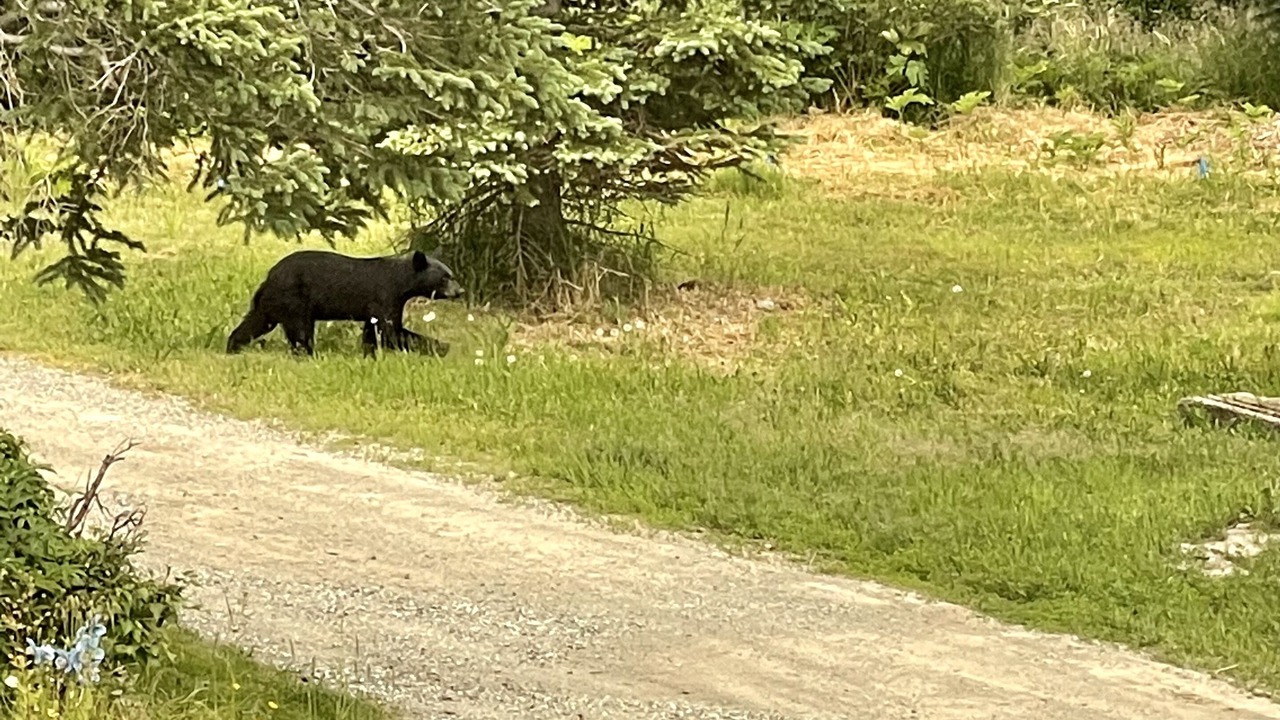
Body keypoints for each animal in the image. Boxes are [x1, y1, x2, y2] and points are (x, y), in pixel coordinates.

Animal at [225, 249, 464, 357]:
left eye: (451, 274)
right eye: (445, 277)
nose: (460, 291)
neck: (401, 283)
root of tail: (268, 277)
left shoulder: (379, 307)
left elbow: (372, 332)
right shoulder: (385, 296)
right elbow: (390, 331)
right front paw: (440, 346)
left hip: (272, 303)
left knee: (256, 322)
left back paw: (232, 346)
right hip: (294, 299)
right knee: (301, 331)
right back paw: (309, 353)